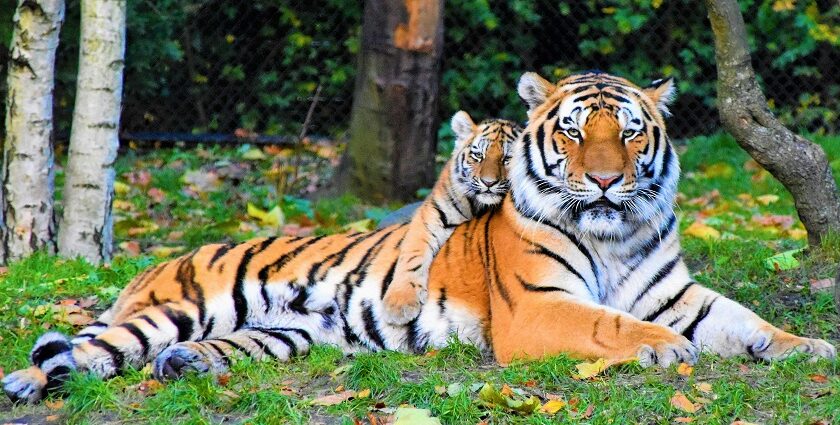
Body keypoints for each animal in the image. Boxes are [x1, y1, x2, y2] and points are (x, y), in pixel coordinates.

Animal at [4, 71, 832, 402]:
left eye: (629, 134)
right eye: (573, 132)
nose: (602, 180)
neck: (615, 233)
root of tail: (160, 265)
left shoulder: (676, 291)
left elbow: (746, 320)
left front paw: (811, 346)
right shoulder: (539, 306)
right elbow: (611, 323)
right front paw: (663, 348)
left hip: (282, 333)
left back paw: (184, 366)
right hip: (175, 307)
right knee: (85, 350)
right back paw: (24, 383)